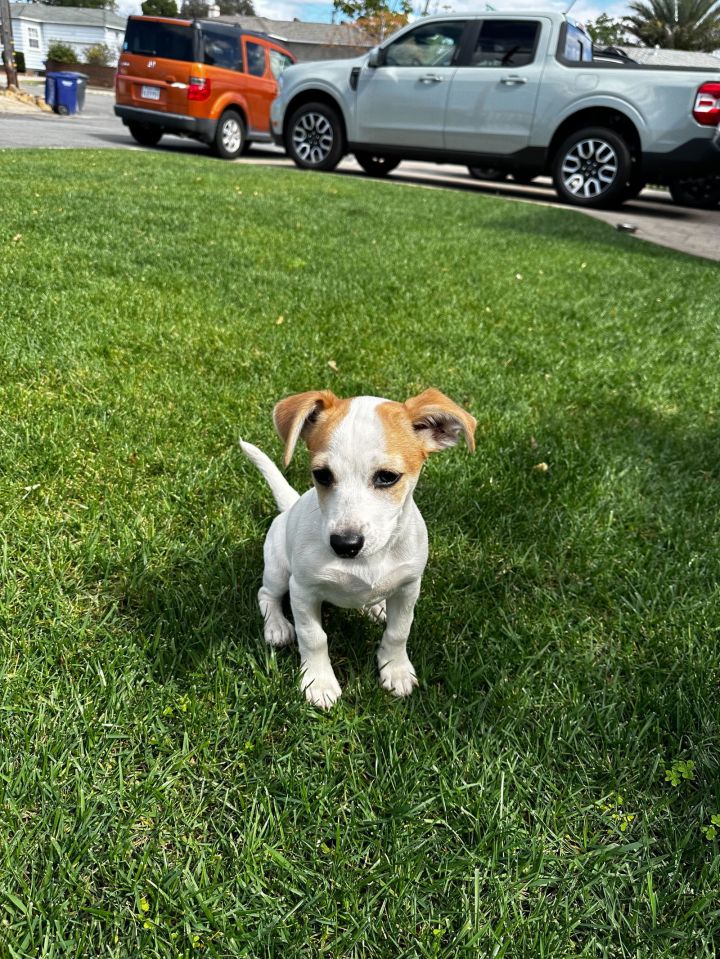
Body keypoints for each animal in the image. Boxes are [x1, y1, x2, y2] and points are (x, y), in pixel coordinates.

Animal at [242, 386, 478, 708]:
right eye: (322, 475)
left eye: (387, 477)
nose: (345, 544)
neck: (369, 560)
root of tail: (289, 507)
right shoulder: (303, 590)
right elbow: (313, 637)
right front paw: (318, 681)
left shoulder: (408, 587)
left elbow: (399, 631)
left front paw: (396, 669)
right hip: (278, 570)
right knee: (266, 594)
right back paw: (276, 625)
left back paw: (376, 606)